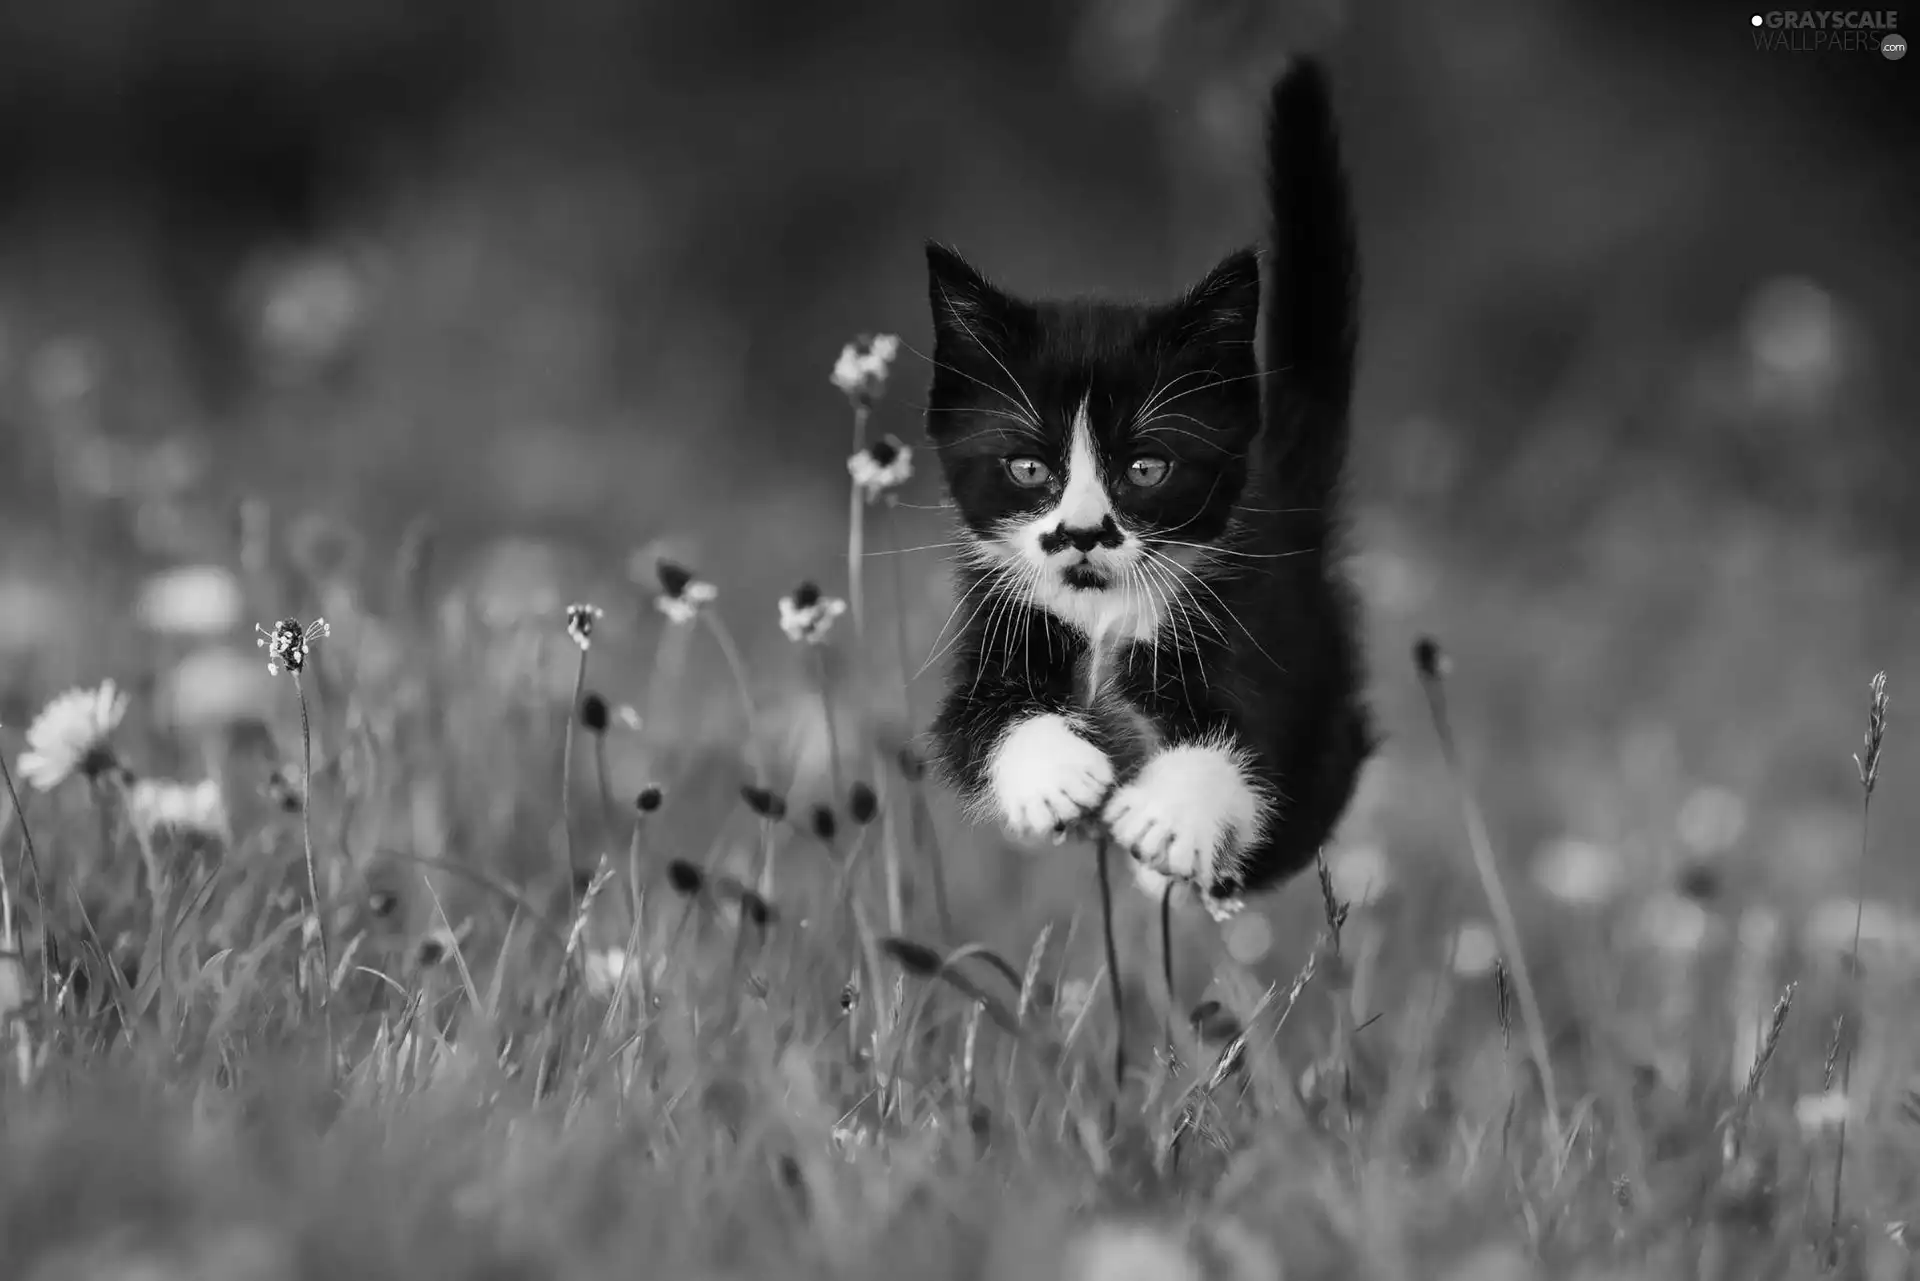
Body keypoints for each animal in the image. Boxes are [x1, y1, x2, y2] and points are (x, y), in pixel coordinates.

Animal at [921, 62, 1374, 921]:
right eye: (1028, 469)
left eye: (1145, 470)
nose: (1082, 532)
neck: (1105, 615)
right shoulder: (994, 621)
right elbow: (977, 723)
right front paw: (1056, 776)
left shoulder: (1252, 632)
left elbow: (1248, 741)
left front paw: (1170, 818)